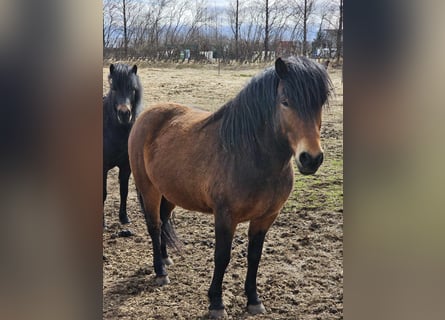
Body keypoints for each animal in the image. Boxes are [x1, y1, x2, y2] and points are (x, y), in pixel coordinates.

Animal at [127, 56, 330, 318]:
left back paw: (165, 258)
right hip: (149, 189)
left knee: (163, 221)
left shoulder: (266, 217)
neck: (250, 156)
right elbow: (222, 257)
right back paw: (160, 272)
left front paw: (254, 299)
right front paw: (216, 302)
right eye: (285, 102)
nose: (311, 158)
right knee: (154, 225)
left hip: (169, 193)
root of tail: (145, 116)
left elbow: (255, 256)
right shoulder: (225, 216)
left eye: (320, 103)